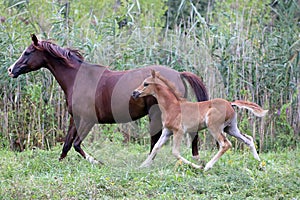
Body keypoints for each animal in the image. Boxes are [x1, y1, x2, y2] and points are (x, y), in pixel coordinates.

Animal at [7, 33, 209, 163]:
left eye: (27, 52)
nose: (10, 69)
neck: (79, 78)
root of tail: (179, 74)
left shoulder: (88, 120)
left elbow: (77, 144)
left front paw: (96, 162)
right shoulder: (75, 118)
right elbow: (67, 145)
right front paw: (60, 164)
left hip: (159, 114)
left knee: (160, 138)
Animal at [132, 70, 268, 170]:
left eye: (146, 83)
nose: (134, 93)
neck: (172, 106)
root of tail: (230, 104)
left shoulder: (179, 131)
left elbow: (175, 152)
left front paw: (198, 166)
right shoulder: (167, 131)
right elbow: (156, 147)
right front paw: (142, 166)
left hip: (214, 127)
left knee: (225, 144)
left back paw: (207, 166)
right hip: (231, 128)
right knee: (248, 139)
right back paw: (259, 163)